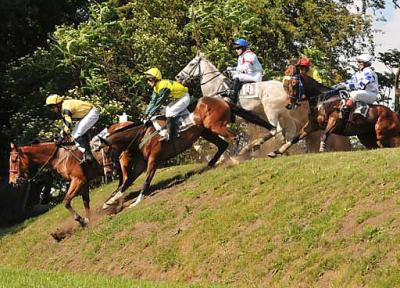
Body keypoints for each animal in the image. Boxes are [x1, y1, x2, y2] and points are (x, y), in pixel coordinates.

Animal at [101, 95, 266, 210]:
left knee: (235, 137)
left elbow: (146, 181)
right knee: (223, 144)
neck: (142, 136)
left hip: (215, 126)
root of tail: (221, 100)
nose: (107, 171)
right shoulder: (142, 163)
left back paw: (237, 157)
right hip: (206, 131)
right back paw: (209, 165)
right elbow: (126, 183)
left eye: (106, 152)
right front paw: (109, 202)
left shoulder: (153, 159)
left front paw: (137, 201)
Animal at [176, 51, 350, 155]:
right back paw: (279, 150)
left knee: (276, 129)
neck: (217, 87)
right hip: (283, 114)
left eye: (191, 64)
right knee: (289, 130)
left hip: (270, 111)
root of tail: (284, 88)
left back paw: (255, 146)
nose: (178, 77)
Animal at [268, 64, 400, 158]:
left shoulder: (334, 120)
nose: (289, 105)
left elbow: (324, 135)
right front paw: (276, 152)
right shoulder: (312, 124)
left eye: (294, 83)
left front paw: (322, 149)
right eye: (284, 85)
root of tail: (395, 114)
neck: (322, 100)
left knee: (389, 144)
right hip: (366, 137)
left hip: (381, 132)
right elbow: (295, 138)